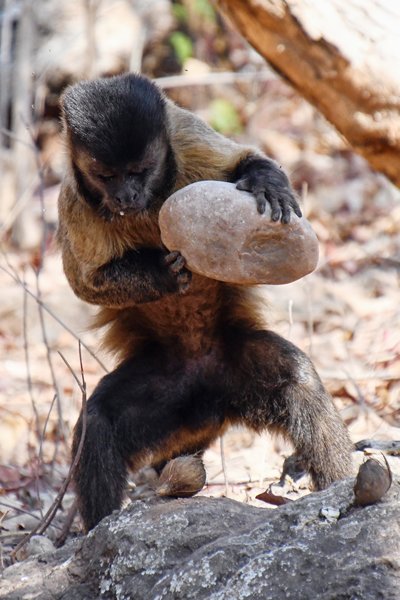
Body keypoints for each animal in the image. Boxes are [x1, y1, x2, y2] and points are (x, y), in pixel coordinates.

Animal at [57, 74, 352, 528]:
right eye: (106, 176)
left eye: (139, 171)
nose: (126, 196)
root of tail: (206, 395)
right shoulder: (75, 202)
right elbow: (84, 284)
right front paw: (159, 275)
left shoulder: (184, 137)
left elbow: (244, 158)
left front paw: (266, 182)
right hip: (166, 391)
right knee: (98, 423)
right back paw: (100, 527)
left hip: (236, 368)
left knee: (298, 381)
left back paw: (344, 491)